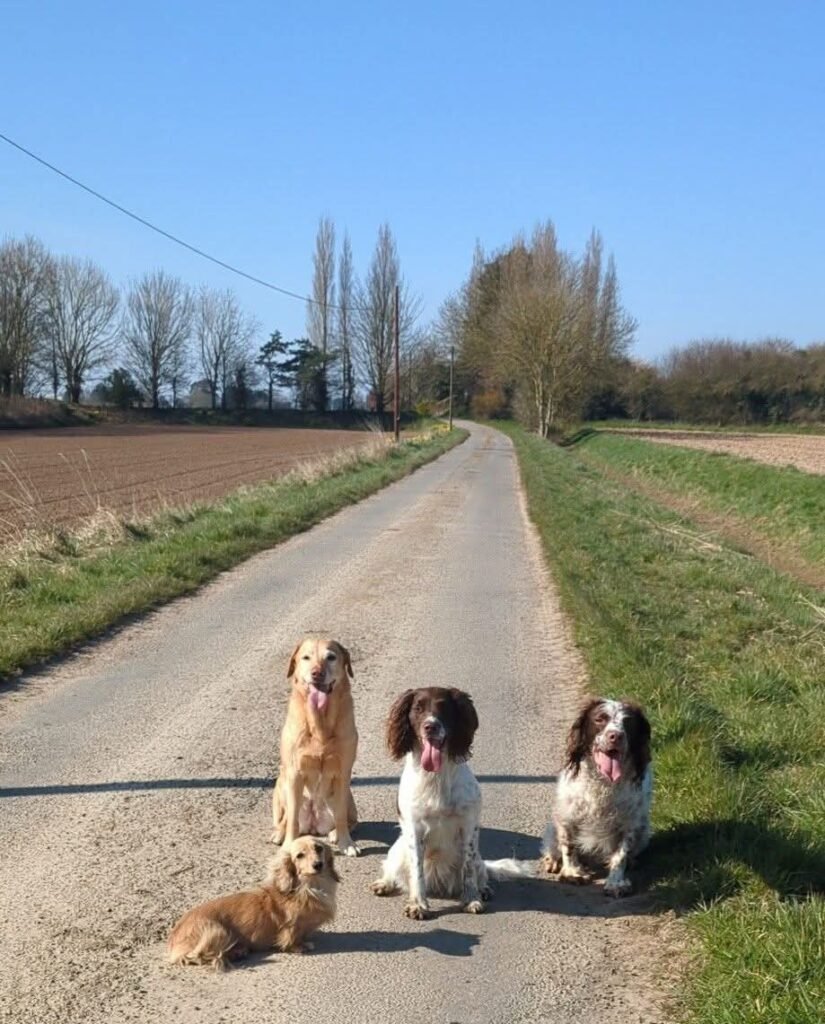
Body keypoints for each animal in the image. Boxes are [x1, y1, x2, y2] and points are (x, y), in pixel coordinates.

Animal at [167, 837, 339, 969]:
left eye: (318, 848)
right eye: (300, 855)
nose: (318, 865)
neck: (309, 888)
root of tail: (173, 941)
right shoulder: (292, 926)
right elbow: (292, 937)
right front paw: (299, 946)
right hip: (217, 930)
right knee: (197, 955)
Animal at [272, 638, 359, 857]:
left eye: (331, 657)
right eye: (306, 657)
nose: (317, 673)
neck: (320, 722)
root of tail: (314, 824)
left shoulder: (343, 772)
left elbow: (341, 816)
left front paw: (346, 843)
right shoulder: (294, 772)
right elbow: (292, 819)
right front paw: (289, 845)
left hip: (348, 797)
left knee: (349, 819)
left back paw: (335, 834)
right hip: (281, 784)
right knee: (286, 818)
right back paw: (279, 833)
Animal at [371, 687, 530, 919]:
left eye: (444, 707)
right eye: (418, 708)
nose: (430, 726)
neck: (436, 777)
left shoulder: (469, 827)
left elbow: (468, 870)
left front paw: (471, 899)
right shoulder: (414, 828)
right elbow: (417, 871)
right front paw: (418, 904)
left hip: (478, 857)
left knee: (480, 871)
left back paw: (484, 889)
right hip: (398, 850)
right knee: (392, 868)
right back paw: (385, 883)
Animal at [542, 697, 652, 897]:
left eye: (628, 722)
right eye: (600, 719)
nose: (616, 736)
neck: (604, 782)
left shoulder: (631, 822)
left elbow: (621, 855)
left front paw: (616, 882)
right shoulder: (567, 815)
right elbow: (568, 846)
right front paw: (572, 873)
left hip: (644, 830)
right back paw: (552, 860)